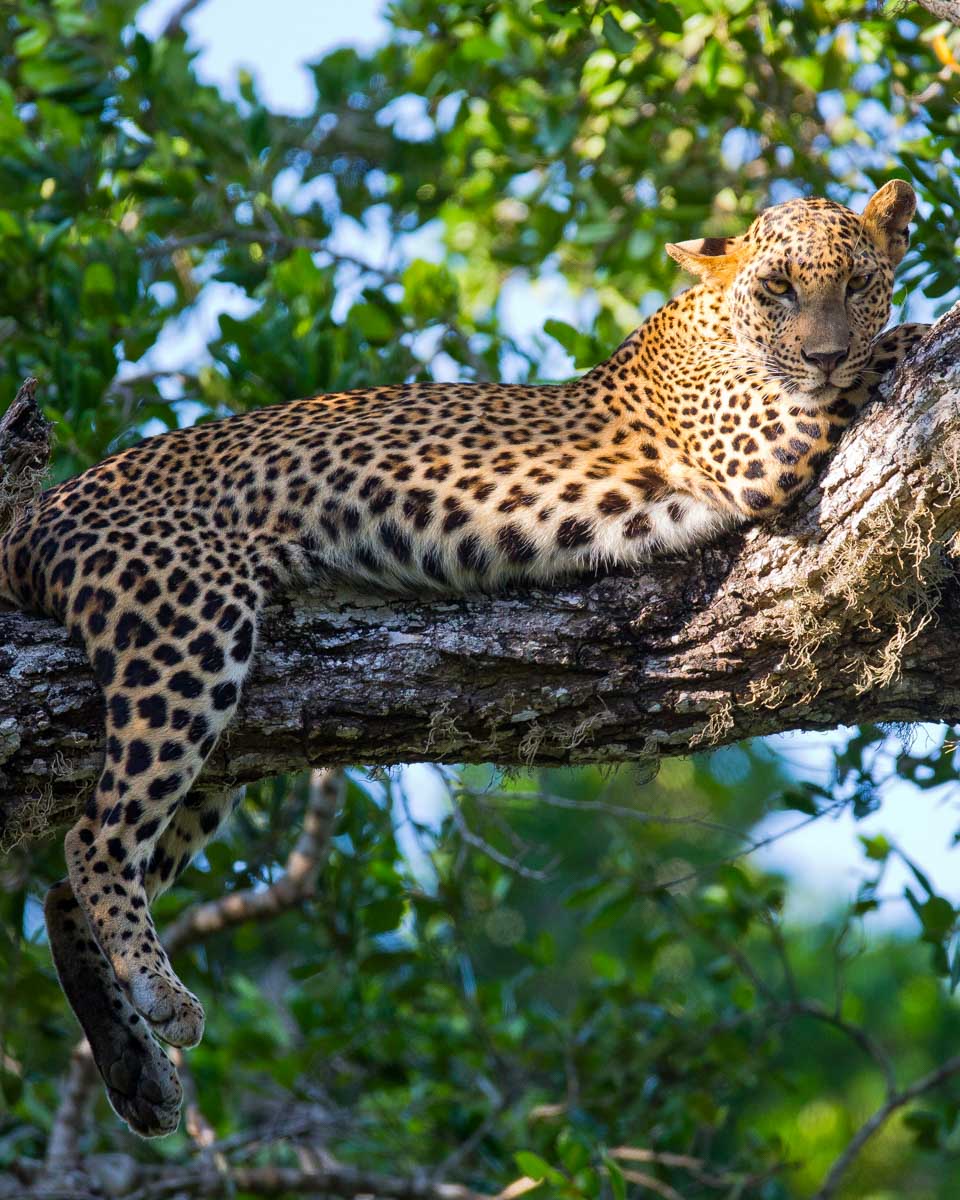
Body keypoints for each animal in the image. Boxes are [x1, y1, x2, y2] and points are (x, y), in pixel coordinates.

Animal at [0, 179, 928, 1138]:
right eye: (778, 289)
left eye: (857, 283)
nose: (823, 354)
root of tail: (35, 514)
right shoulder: (760, 442)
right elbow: (888, 355)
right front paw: (919, 335)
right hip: (184, 632)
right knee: (93, 836)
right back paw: (162, 999)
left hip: (223, 742)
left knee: (67, 885)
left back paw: (135, 1072)